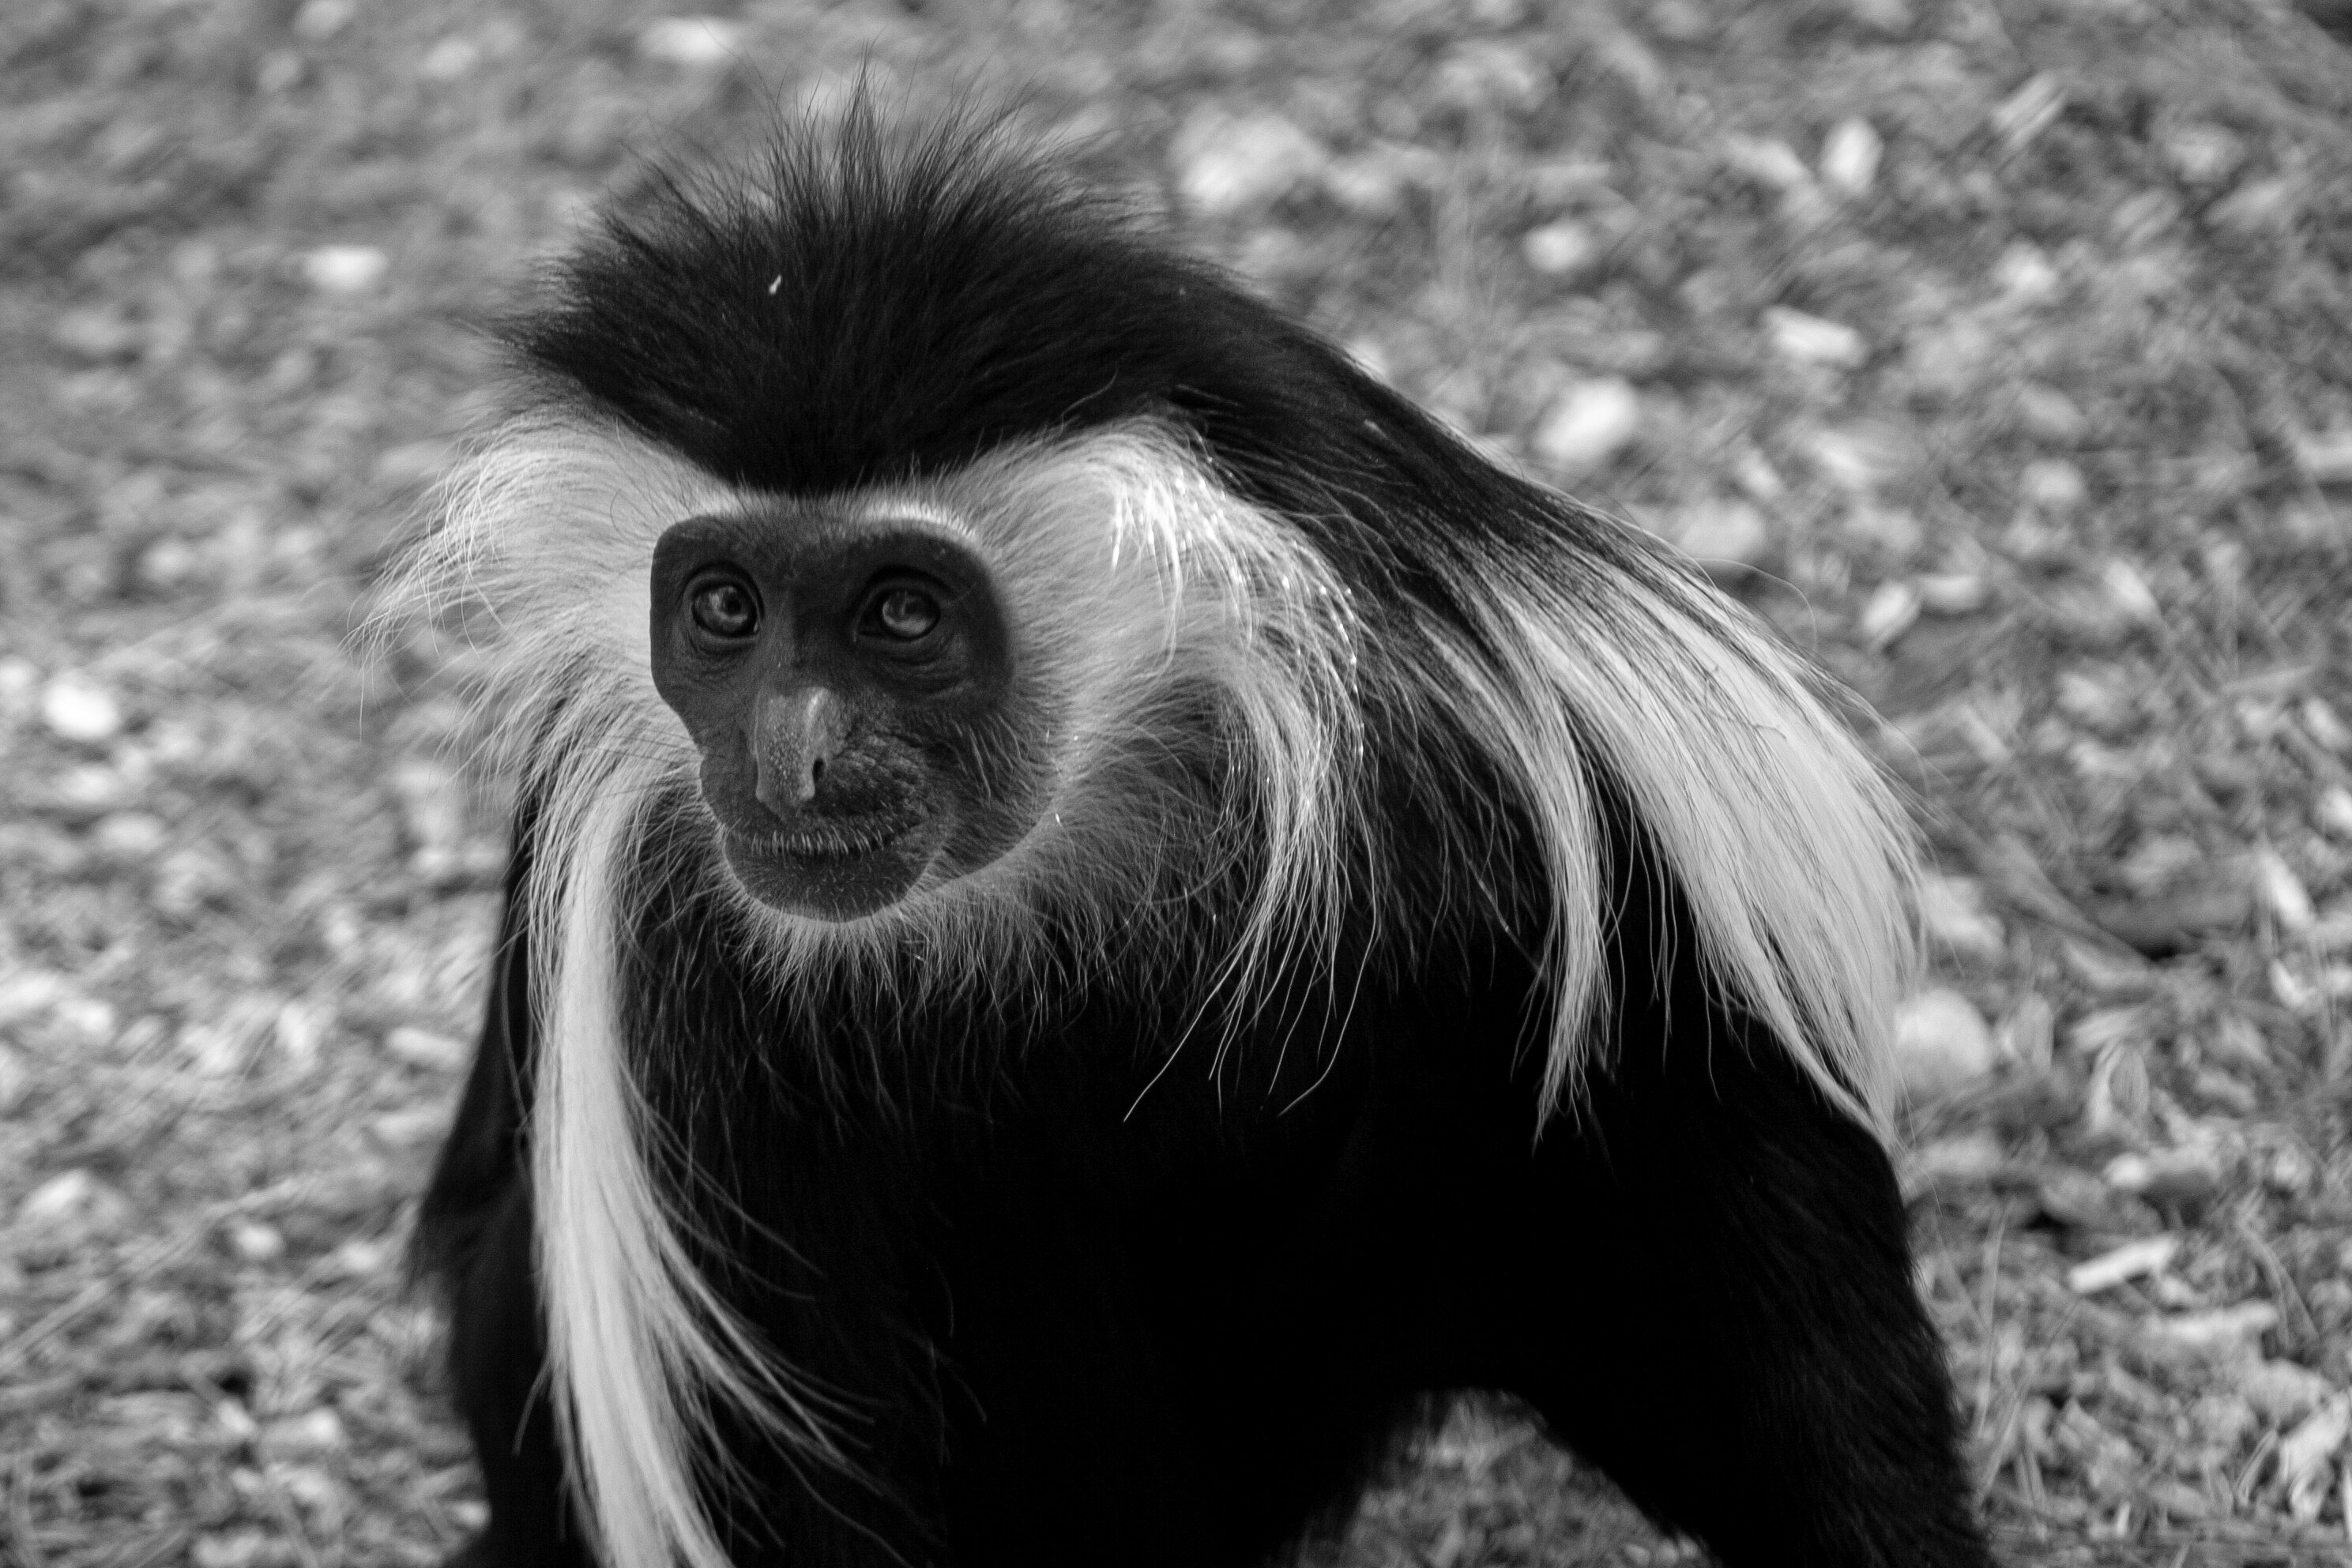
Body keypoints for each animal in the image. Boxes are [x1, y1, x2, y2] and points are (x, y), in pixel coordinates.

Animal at [400, 113, 1985, 1568]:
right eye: (723, 608)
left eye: (901, 613)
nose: (791, 758)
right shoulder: (671, 958)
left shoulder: (1491, 757)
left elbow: (1715, 1148)